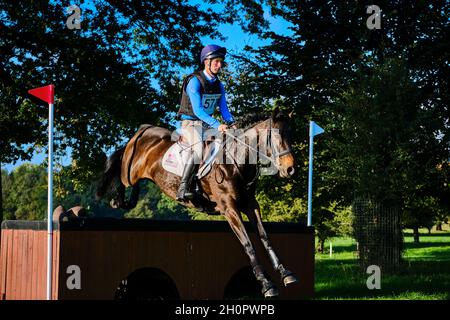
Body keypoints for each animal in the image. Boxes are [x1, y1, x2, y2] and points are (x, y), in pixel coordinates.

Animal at [95, 107, 298, 298]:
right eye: (277, 137)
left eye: (291, 136)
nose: (290, 169)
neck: (237, 160)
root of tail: (144, 129)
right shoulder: (229, 208)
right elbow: (248, 244)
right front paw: (266, 284)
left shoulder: (250, 205)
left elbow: (265, 237)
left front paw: (285, 273)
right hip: (131, 170)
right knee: (123, 171)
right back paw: (118, 200)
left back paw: (129, 200)